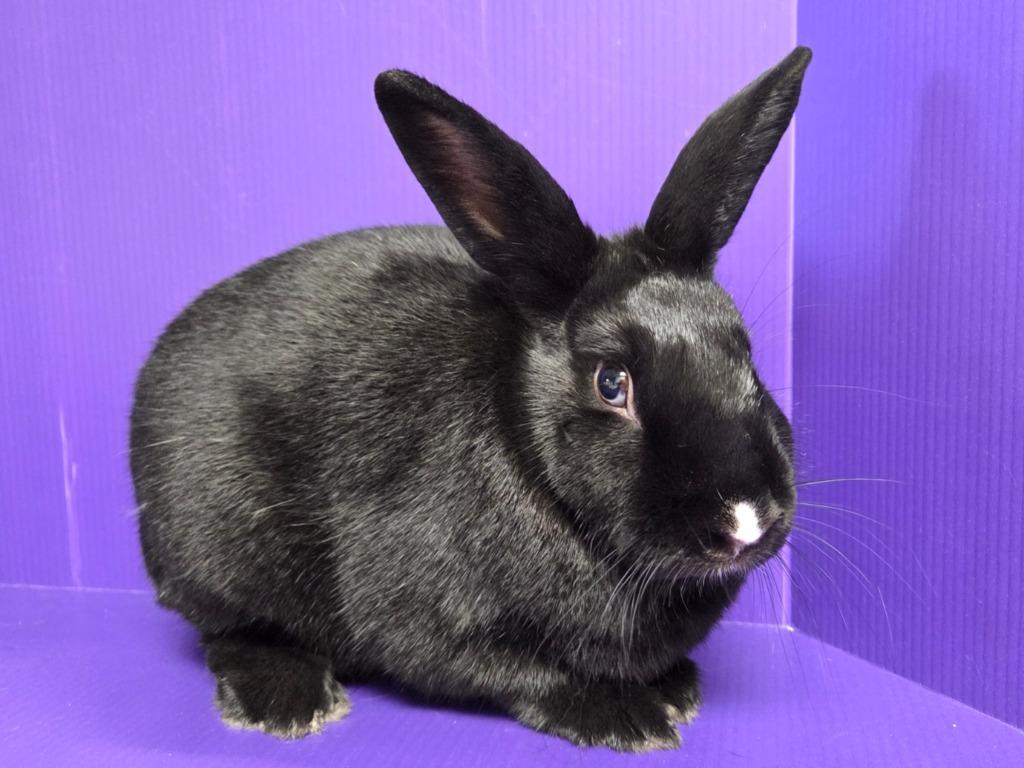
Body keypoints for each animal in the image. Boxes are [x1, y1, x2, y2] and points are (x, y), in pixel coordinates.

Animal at [131, 46, 811, 752]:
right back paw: (287, 701)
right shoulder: (427, 622)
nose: (744, 522)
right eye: (611, 382)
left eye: (746, 356)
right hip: (223, 553)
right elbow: (524, 673)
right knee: (228, 631)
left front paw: (676, 689)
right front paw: (627, 716)